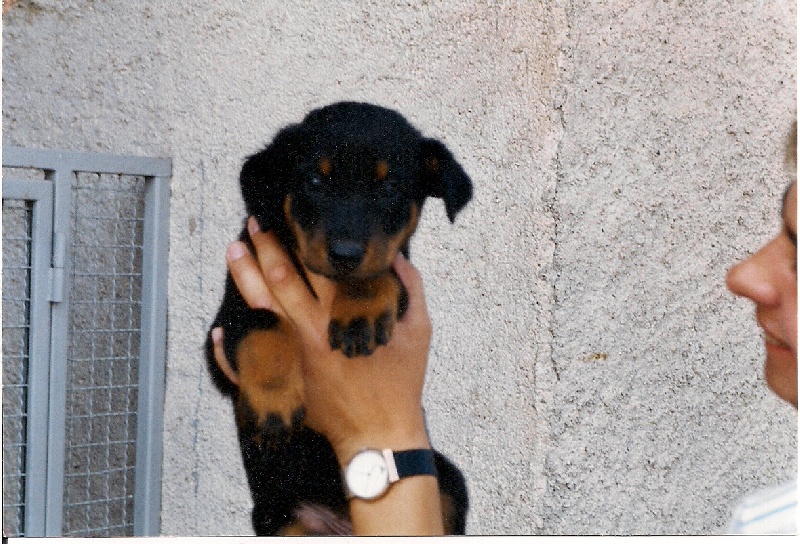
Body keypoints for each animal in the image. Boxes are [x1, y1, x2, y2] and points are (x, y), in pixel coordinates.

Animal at [205, 101, 473, 535]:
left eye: (389, 188)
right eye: (315, 180)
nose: (345, 254)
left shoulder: (400, 273)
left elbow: (383, 273)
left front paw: (359, 313)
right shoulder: (220, 332)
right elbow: (263, 320)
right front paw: (274, 403)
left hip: (449, 480)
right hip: (278, 515)